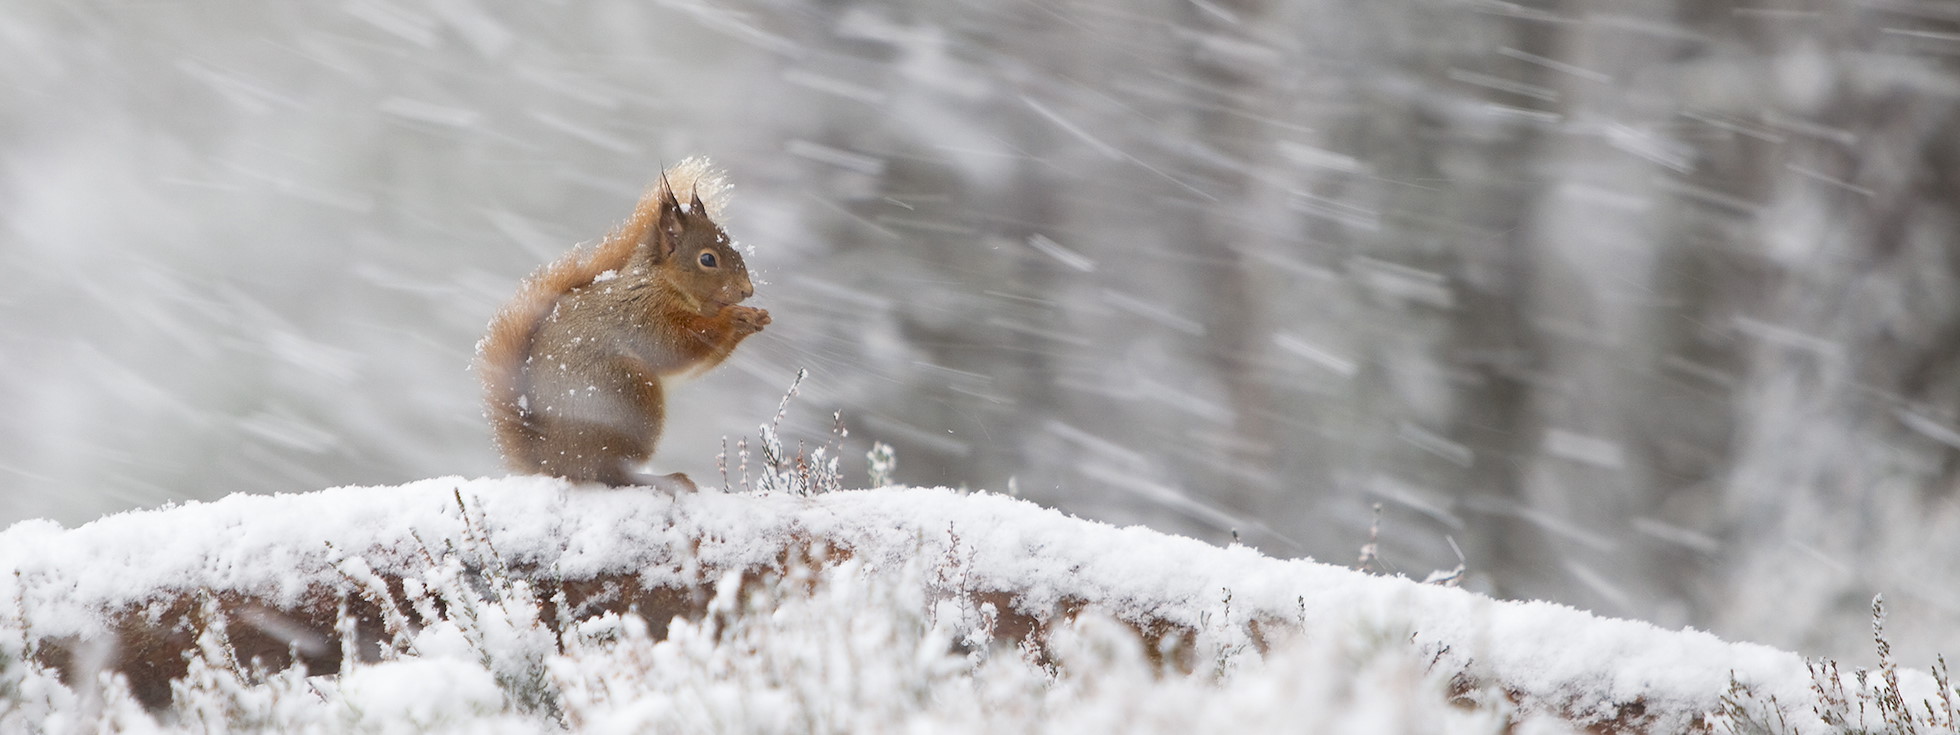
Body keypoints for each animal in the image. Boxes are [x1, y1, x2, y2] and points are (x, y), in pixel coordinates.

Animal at [478, 158, 768, 486]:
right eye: (708, 259)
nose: (747, 290)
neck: (661, 282)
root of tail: (552, 462)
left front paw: (757, 317)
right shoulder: (643, 316)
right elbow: (677, 347)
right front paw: (736, 316)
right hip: (628, 390)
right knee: (609, 473)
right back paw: (666, 480)